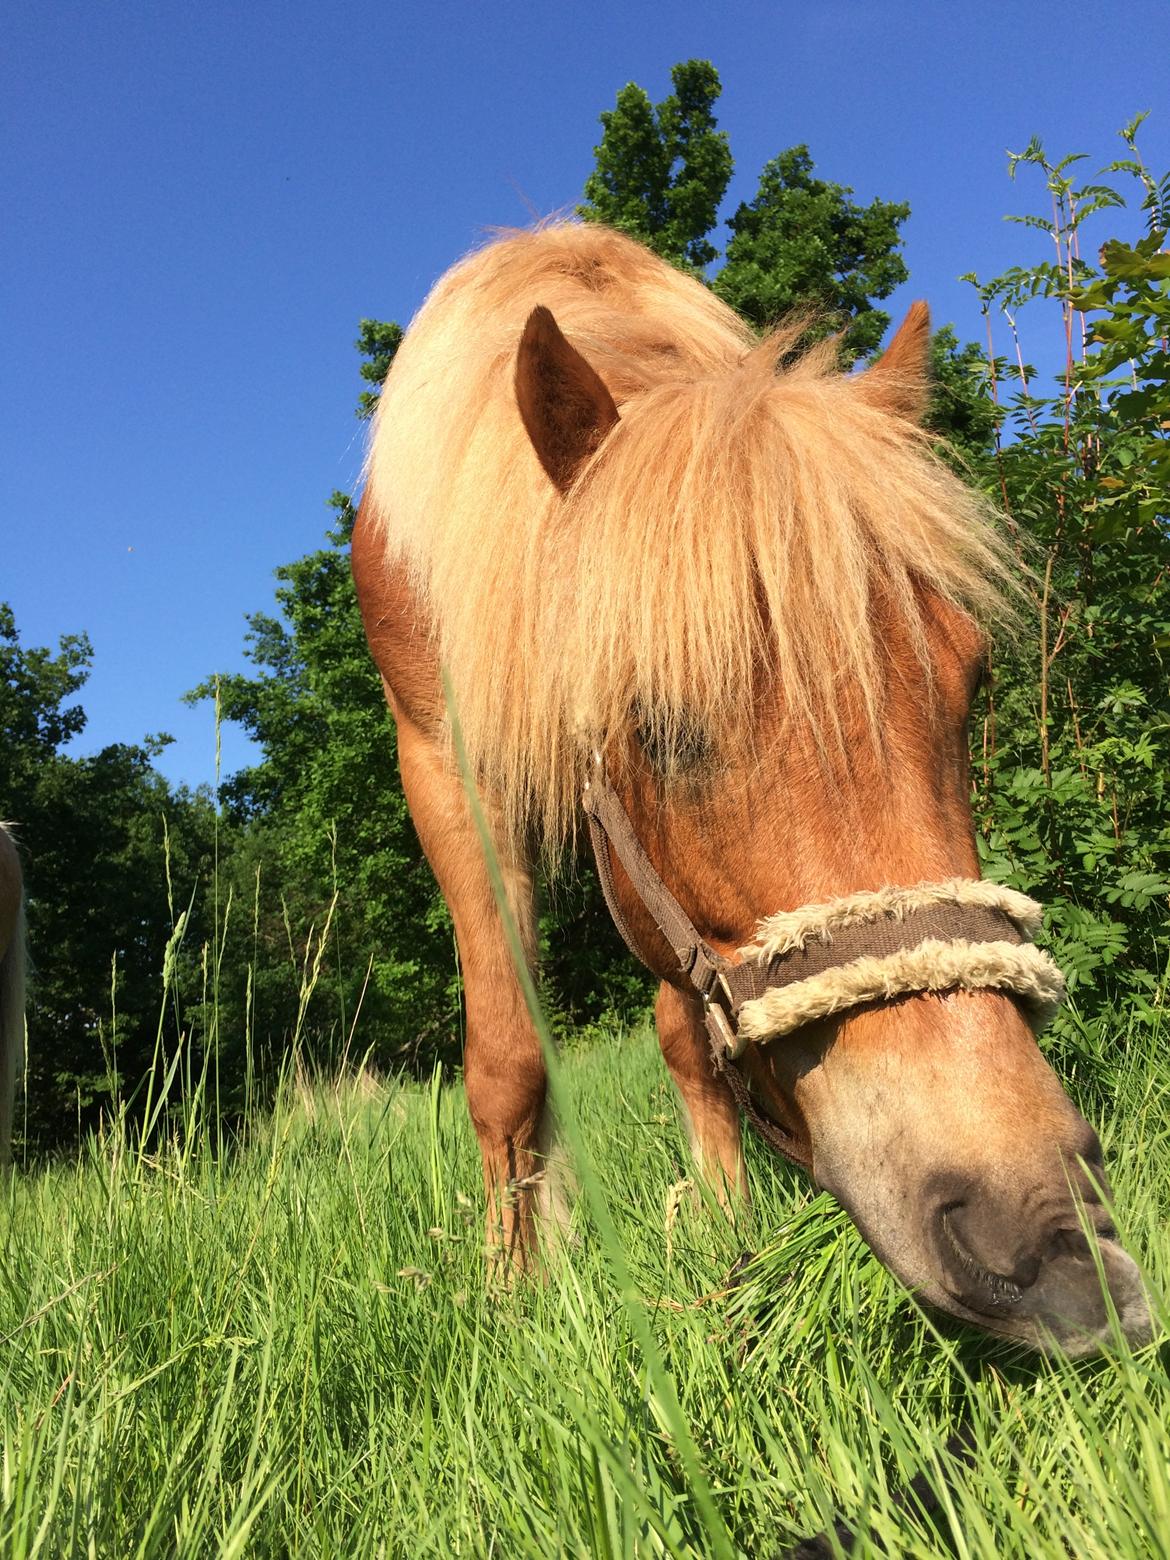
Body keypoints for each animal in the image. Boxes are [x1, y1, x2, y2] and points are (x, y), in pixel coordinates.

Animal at [351, 223, 1154, 1354]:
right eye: (659, 727)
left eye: (970, 685)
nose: (1050, 1239)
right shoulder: (441, 765)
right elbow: (508, 1057)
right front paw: (513, 1294)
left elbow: (686, 1040)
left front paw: (720, 1223)